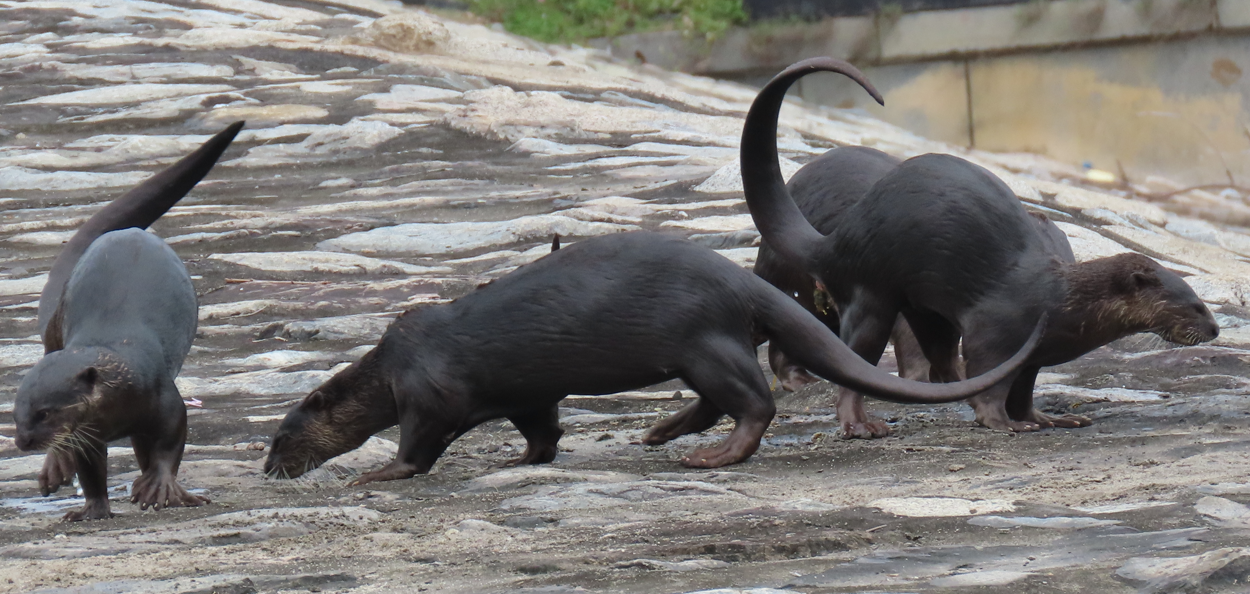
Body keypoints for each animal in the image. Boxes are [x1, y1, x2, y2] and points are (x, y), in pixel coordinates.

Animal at [13, 121, 242, 520]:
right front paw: (92, 509)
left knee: (144, 444)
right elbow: (91, 468)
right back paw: (56, 468)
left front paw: (159, 487)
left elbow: (170, 443)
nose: (22, 440)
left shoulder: (164, 397)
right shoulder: (86, 430)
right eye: (14, 415)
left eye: (45, 413)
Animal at [735, 58, 1215, 440]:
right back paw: (860, 424)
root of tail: (842, 237)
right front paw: (1003, 423)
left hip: (928, 309)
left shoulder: (1034, 355)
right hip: (870, 290)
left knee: (939, 356)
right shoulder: (997, 330)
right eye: (1193, 305)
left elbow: (1024, 389)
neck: (1060, 300)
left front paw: (1044, 418)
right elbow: (991, 382)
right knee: (856, 361)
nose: (1214, 329)